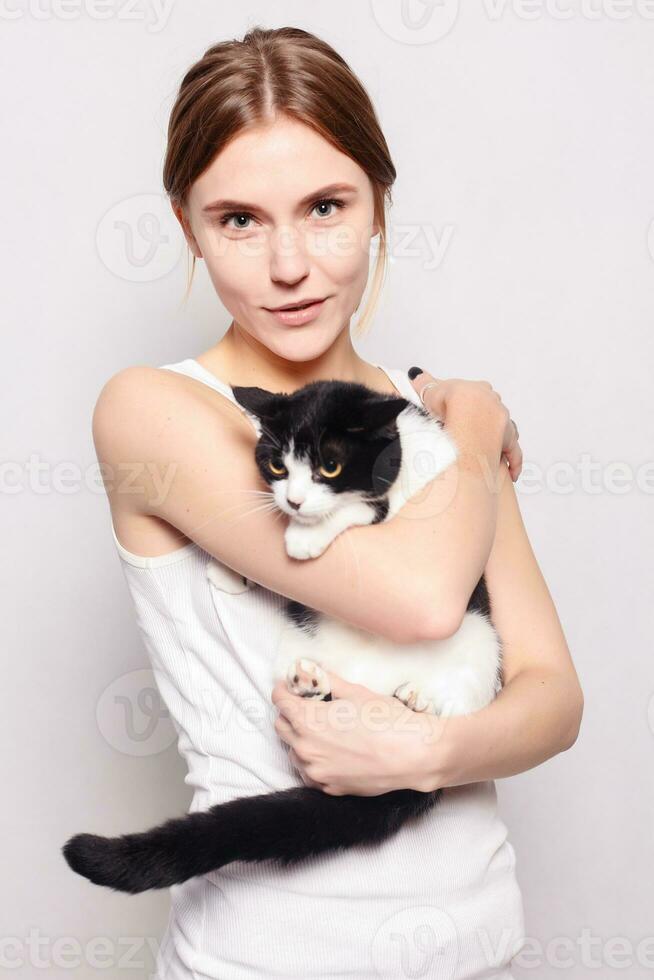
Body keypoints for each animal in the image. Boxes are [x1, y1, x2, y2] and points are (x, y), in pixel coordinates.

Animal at [61, 378, 502, 896]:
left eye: (330, 466)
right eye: (277, 466)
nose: (294, 502)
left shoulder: (423, 501)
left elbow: (368, 508)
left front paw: (305, 536)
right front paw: (231, 568)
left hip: (480, 637)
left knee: (462, 691)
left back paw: (419, 697)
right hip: (302, 640)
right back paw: (308, 681)